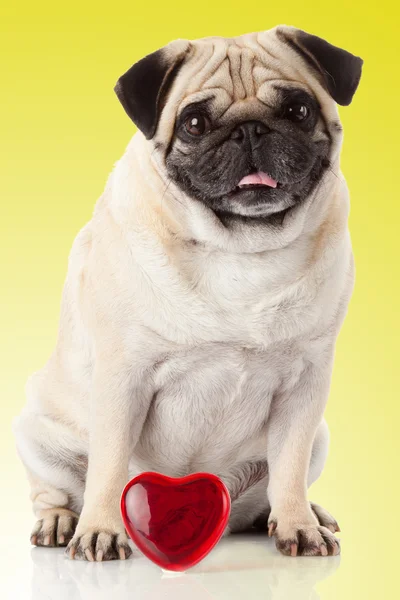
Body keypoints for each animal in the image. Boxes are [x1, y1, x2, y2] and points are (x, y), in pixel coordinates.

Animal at [14, 25, 362, 560]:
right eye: (195, 124)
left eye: (298, 110)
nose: (249, 129)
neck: (239, 248)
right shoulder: (123, 377)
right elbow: (108, 464)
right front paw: (100, 530)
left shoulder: (306, 382)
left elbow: (289, 464)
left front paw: (298, 525)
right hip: (37, 432)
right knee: (56, 489)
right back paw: (60, 522)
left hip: (316, 438)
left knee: (277, 483)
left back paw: (291, 514)